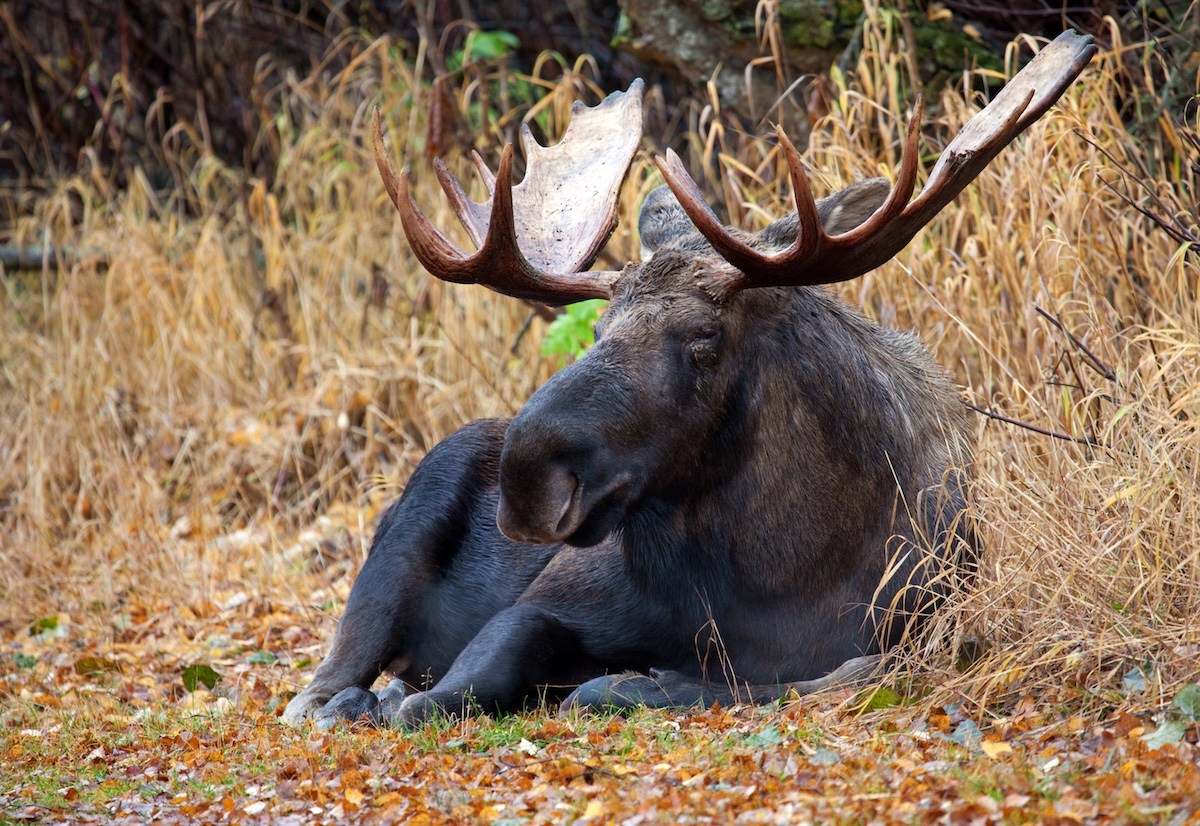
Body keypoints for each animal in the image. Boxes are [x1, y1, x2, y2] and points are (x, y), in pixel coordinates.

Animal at [283, 30, 1096, 728]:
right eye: (600, 331)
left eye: (704, 343)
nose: (527, 478)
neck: (775, 581)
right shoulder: (549, 597)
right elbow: (471, 672)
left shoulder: (900, 639)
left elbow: (792, 679)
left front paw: (643, 681)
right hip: (401, 535)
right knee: (320, 685)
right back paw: (355, 698)